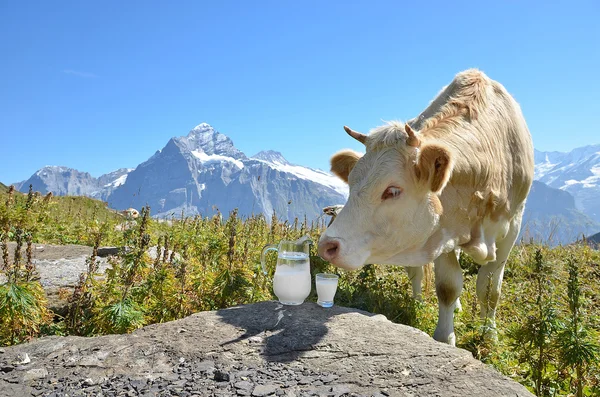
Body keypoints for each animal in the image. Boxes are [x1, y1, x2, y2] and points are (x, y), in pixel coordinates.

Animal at [318, 69, 536, 344]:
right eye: (352, 182)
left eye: (392, 190)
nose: (326, 246)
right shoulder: (441, 230)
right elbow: (448, 286)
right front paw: (445, 337)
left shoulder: (512, 225)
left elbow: (490, 289)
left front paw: (490, 335)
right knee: (417, 273)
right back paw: (418, 304)